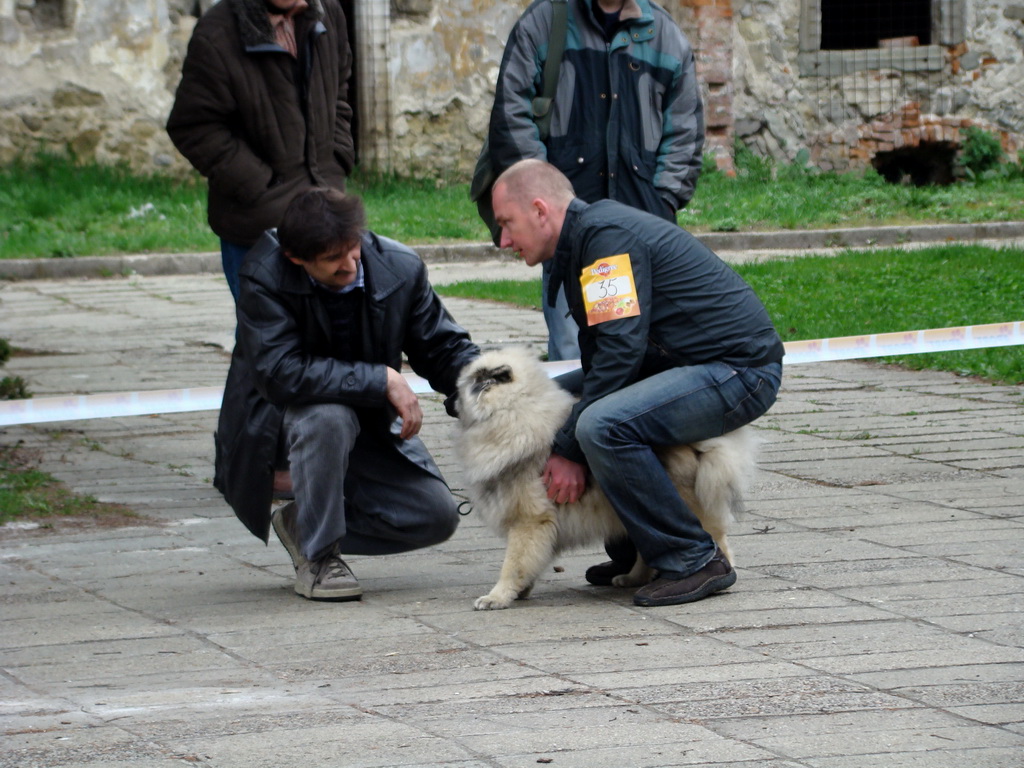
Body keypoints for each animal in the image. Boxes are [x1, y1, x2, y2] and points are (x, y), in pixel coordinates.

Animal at [452, 348, 757, 614]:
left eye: (465, 386)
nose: (448, 400)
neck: (514, 414)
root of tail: (699, 444)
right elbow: (529, 562)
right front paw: (520, 591)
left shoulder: (529, 521)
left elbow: (513, 563)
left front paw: (496, 597)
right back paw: (633, 578)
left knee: (713, 540)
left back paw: (715, 579)